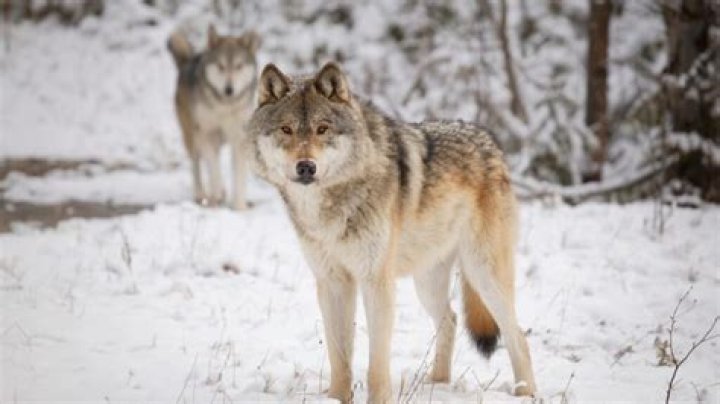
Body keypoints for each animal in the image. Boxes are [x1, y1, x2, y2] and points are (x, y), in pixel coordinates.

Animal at [167, 25, 260, 209]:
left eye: (238, 66)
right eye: (221, 66)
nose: (229, 89)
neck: (224, 106)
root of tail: (188, 60)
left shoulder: (239, 138)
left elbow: (238, 177)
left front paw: (239, 207)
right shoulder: (205, 133)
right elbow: (214, 168)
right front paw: (216, 195)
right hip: (192, 137)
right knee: (197, 164)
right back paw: (203, 195)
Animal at [246, 62, 537, 403]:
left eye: (322, 129)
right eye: (287, 130)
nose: (306, 167)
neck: (330, 206)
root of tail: (490, 140)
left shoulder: (376, 281)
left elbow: (376, 361)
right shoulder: (332, 282)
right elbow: (339, 357)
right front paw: (336, 398)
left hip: (484, 276)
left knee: (518, 334)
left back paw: (525, 393)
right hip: (427, 284)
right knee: (450, 321)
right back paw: (437, 384)